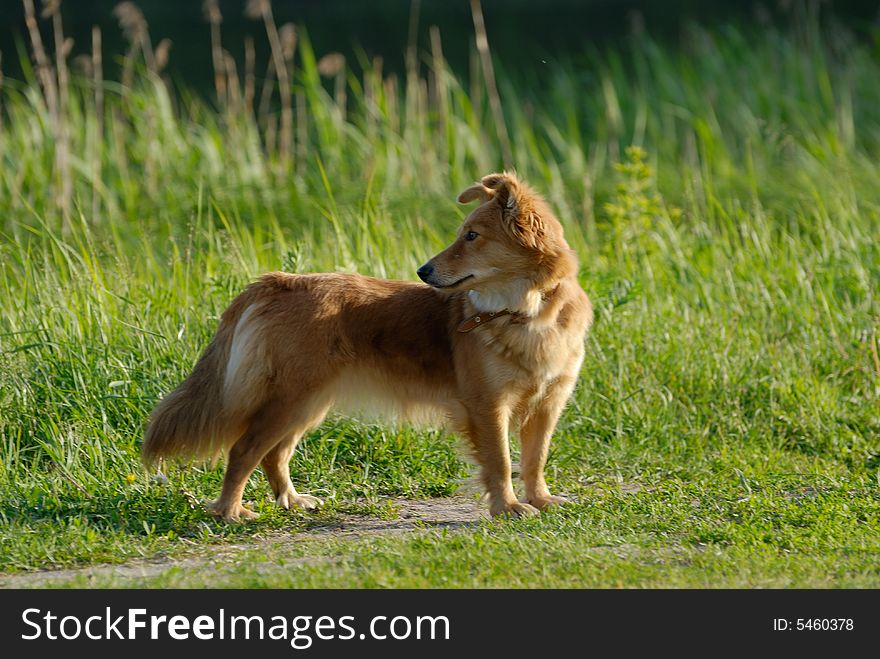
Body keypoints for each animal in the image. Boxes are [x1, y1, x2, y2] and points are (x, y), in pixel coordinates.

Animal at [143, 173, 592, 524]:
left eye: (472, 236)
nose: (422, 271)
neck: (529, 311)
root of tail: (279, 280)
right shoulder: (487, 405)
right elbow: (500, 461)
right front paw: (508, 507)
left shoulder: (548, 403)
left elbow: (534, 459)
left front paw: (540, 499)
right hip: (291, 400)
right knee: (243, 450)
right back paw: (230, 511)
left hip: (307, 403)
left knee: (274, 454)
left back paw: (291, 500)